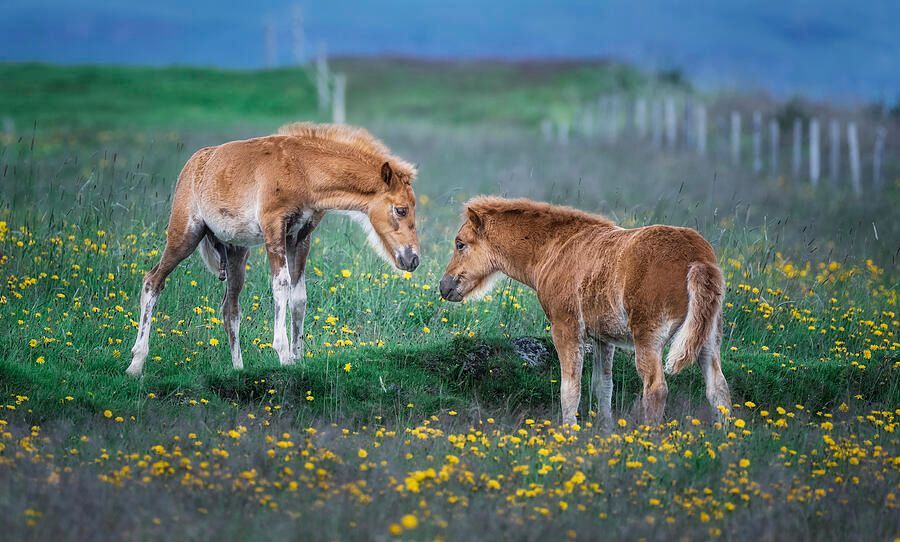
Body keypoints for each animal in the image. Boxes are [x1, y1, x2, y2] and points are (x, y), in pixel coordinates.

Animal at [127, 122, 420, 376]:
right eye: (401, 209)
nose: (413, 259)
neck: (303, 171)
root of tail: (192, 165)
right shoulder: (273, 228)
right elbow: (281, 285)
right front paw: (284, 355)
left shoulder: (300, 238)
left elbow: (299, 296)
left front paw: (299, 358)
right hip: (184, 235)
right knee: (152, 281)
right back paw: (136, 363)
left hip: (236, 252)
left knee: (230, 308)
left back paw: (238, 369)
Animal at [439, 196, 730, 426]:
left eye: (460, 244)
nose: (445, 286)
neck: (555, 248)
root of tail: (698, 259)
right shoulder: (603, 338)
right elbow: (603, 387)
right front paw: (606, 432)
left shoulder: (566, 328)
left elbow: (570, 390)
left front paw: (569, 435)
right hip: (707, 337)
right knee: (719, 390)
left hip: (648, 338)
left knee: (656, 389)